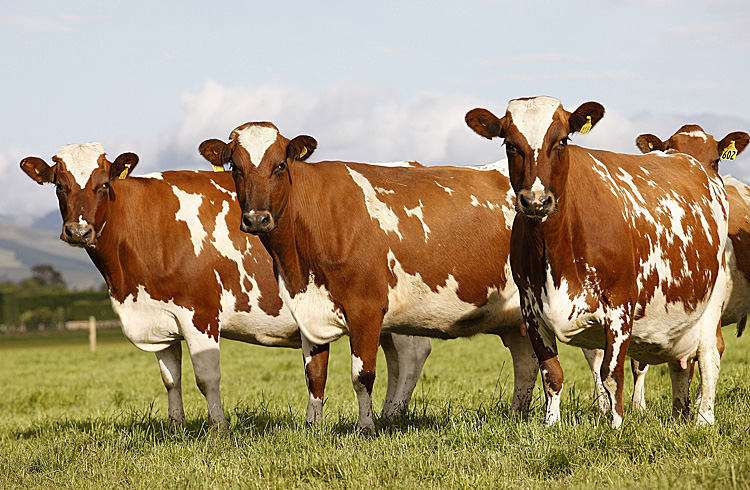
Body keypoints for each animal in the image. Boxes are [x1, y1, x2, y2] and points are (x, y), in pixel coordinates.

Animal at [20, 144, 432, 430]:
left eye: (103, 184)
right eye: (59, 186)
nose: (78, 230)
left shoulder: (199, 312)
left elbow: (206, 377)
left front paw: (217, 430)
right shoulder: (160, 315)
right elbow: (170, 379)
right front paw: (176, 429)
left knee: (412, 355)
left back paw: (391, 415)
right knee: (398, 359)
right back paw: (390, 414)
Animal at [200, 122, 540, 432]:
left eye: (280, 165)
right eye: (235, 167)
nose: (257, 219)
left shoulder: (365, 308)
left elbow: (362, 375)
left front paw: (366, 426)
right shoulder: (307, 310)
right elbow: (315, 375)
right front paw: (312, 428)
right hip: (518, 317)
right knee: (526, 361)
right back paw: (517, 416)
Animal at [468, 96, 732, 428]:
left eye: (562, 140)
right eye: (510, 145)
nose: (536, 201)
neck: (553, 247)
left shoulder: (620, 306)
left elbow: (611, 374)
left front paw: (616, 425)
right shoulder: (531, 308)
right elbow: (551, 373)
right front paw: (551, 424)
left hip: (712, 298)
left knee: (709, 356)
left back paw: (703, 419)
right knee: (681, 366)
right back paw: (678, 414)